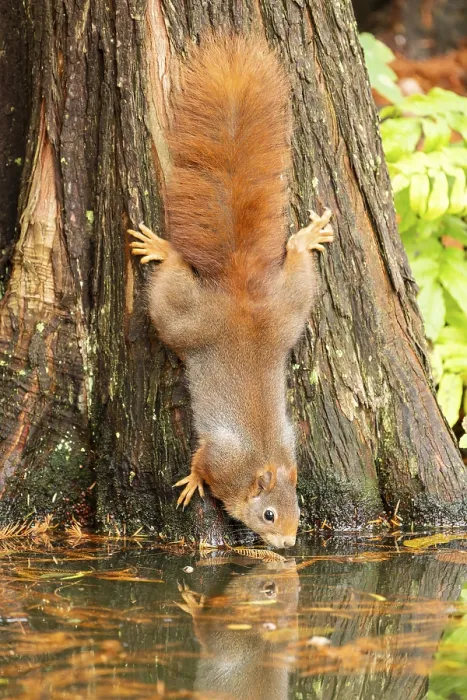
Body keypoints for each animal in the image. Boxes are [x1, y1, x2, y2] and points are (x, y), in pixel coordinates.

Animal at [129, 35, 333, 549]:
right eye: (268, 515)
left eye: (298, 512)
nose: (288, 545)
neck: (260, 463)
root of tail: (240, 295)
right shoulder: (224, 460)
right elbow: (204, 461)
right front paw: (193, 480)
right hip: (186, 321)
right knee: (173, 280)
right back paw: (162, 249)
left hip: (289, 310)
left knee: (296, 266)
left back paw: (304, 240)